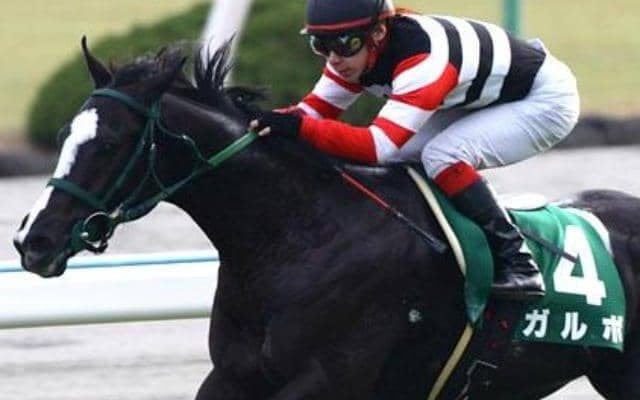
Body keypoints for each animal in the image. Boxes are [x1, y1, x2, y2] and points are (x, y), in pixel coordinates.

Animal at [13, 38, 640, 399]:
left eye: (109, 142)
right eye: (66, 135)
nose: (32, 240)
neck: (297, 236)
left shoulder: (330, 377)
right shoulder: (232, 376)